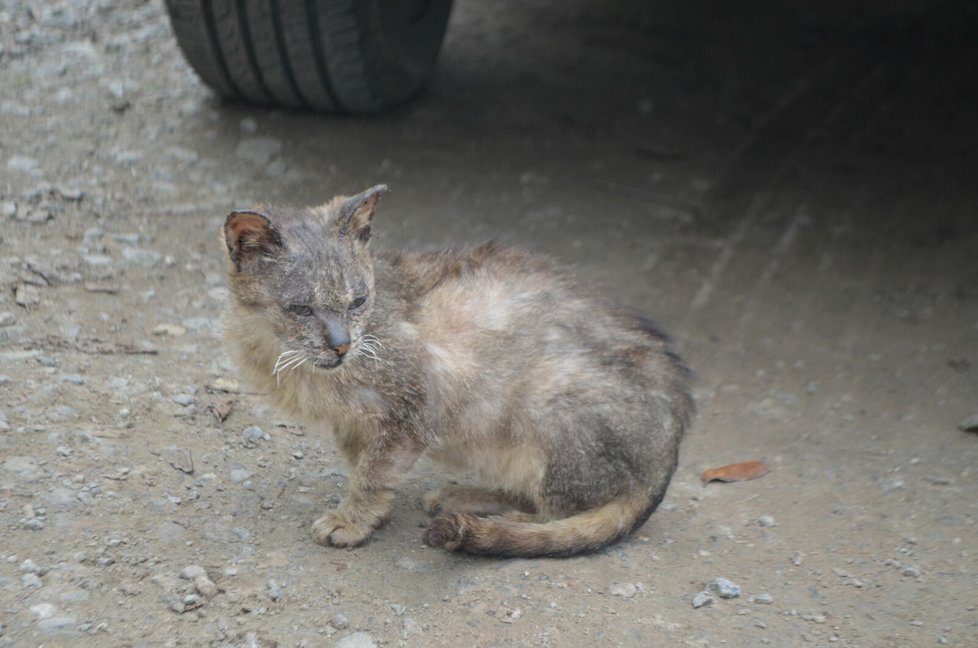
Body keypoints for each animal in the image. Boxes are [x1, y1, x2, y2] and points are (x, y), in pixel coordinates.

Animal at [221, 186, 692, 556]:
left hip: (550, 403)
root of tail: (665, 464)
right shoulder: (355, 425)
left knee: (556, 512)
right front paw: (372, 513)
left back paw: (486, 513)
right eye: (301, 308)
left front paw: (351, 520)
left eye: (358, 301)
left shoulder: (414, 408)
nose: (341, 344)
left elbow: (373, 474)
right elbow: (364, 465)